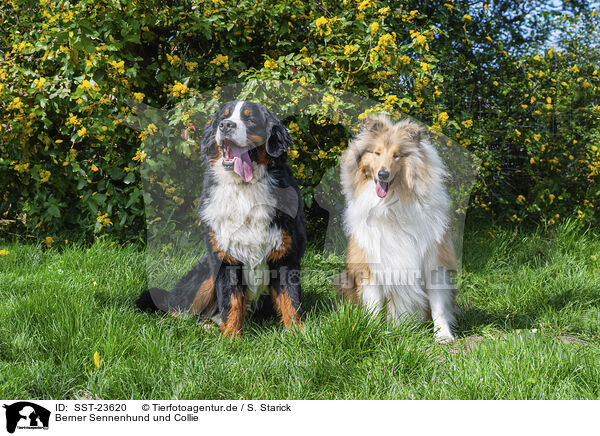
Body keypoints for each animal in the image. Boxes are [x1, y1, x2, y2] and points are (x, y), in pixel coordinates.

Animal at [138, 100, 308, 336]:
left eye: (250, 119)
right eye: (223, 117)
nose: (226, 125)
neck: (244, 188)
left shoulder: (285, 254)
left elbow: (290, 301)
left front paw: (298, 334)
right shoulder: (225, 257)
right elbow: (232, 302)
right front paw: (231, 338)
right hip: (205, 274)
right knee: (179, 309)